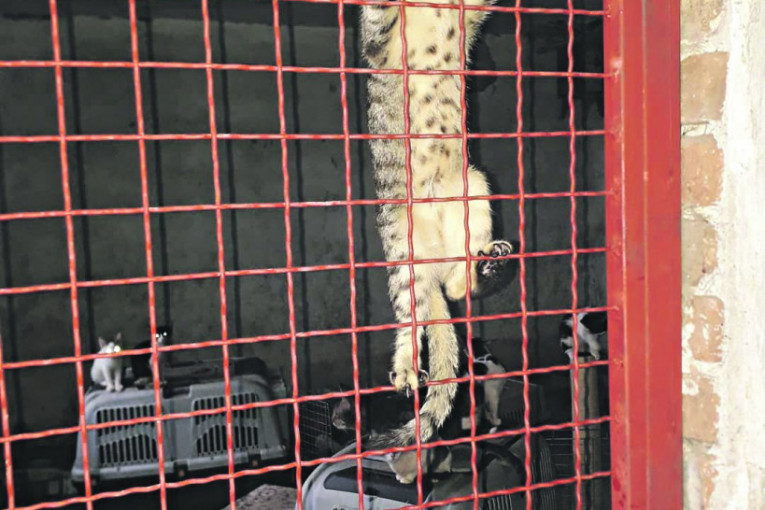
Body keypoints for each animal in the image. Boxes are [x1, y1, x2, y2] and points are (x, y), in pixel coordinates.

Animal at [361, 0, 517, 449]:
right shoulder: (379, 43)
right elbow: (377, 20)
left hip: (474, 187)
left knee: (454, 285)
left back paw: (487, 263)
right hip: (401, 240)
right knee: (408, 312)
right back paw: (406, 366)